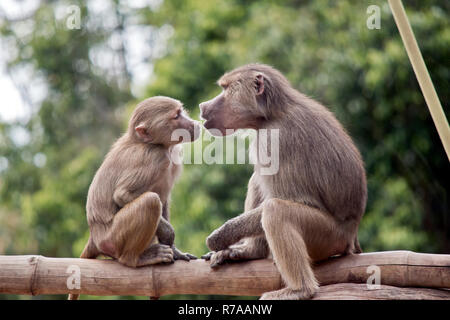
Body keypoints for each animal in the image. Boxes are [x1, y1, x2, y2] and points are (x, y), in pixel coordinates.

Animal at [68, 95, 199, 300]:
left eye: (181, 111)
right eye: (176, 116)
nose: (194, 123)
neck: (152, 144)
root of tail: (94, 236)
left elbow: (164, 201)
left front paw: (175, 250)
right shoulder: (155, 158)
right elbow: (123, 195)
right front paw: (168, 234)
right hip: (113, 238)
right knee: (150, 202)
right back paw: (135, 259)